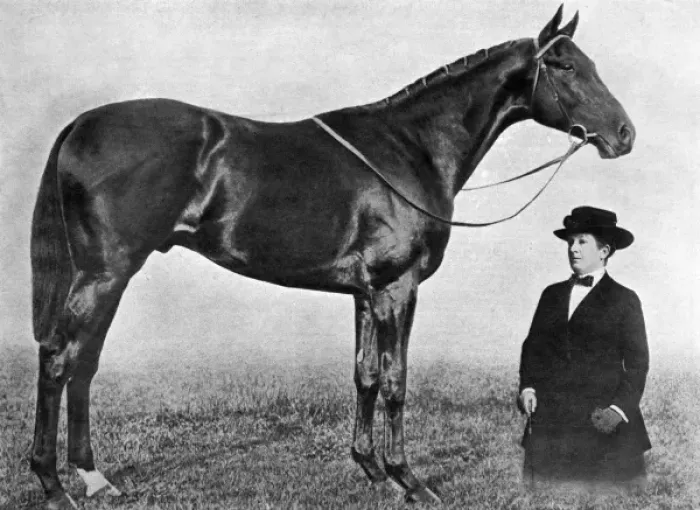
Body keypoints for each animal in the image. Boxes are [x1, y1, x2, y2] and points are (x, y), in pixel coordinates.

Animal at [29, 6, 635, 508]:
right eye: (564, 65)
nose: (624, 134)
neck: (410, 148)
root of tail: (80, 125)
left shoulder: (365, 292)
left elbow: (364, 375)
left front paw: (370, 470)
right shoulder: (397, 287)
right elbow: (395, 381)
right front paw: (409, 479)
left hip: (110, 275)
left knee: (84, 365)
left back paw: (94, 478)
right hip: (105, 273)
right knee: (59, 360)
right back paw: (53, 485)